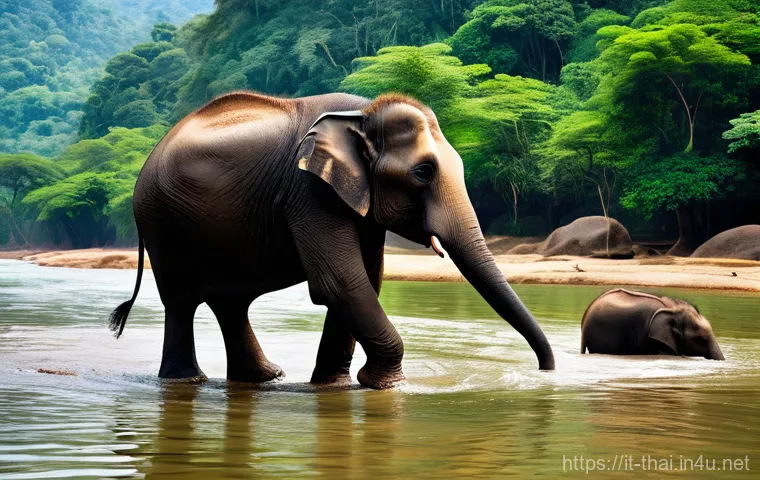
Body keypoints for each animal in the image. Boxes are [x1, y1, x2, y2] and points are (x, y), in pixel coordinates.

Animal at [109, 91, 555, 389]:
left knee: (229, 302)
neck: (362, 116)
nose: (546, 370)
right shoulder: (308, 191)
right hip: (162, 222)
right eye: (423, 173)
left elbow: (363, 281)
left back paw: (264, 378)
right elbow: (340, 282)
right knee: (182, 301)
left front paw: (333, 386)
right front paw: (385, 385)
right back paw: (189, 382)